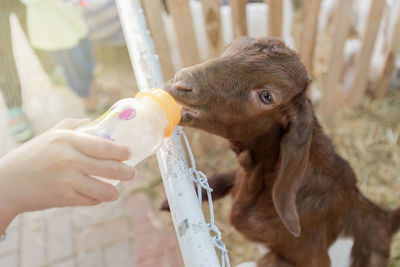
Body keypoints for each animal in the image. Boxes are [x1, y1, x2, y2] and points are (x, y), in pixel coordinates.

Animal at [162, 36, 400, 266]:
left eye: (267, 96)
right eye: (232, 46)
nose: (181, 82)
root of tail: (387, 220)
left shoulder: (312, 257)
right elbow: (219, 180)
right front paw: (170, 203)